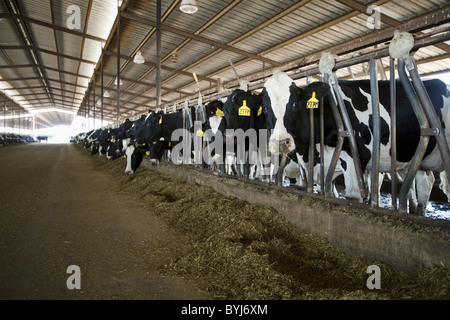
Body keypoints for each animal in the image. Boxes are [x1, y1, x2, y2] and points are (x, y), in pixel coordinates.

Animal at [260, 71, 450, 214]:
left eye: (294, 103)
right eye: (266, 108)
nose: (281, 142)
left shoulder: (354, 160)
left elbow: (353, 197)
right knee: (422, 185)